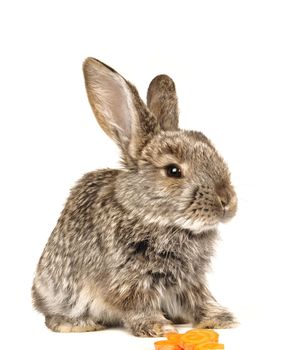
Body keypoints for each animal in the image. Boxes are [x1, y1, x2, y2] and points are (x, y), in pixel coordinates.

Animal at [32, 57, 239, 336]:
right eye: (173, 171)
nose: (227, 201)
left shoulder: (190, 280)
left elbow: (199, 299)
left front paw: (220, 320)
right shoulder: (129, 281)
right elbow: (138, 305)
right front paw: (158, 327)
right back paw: (76, 324)